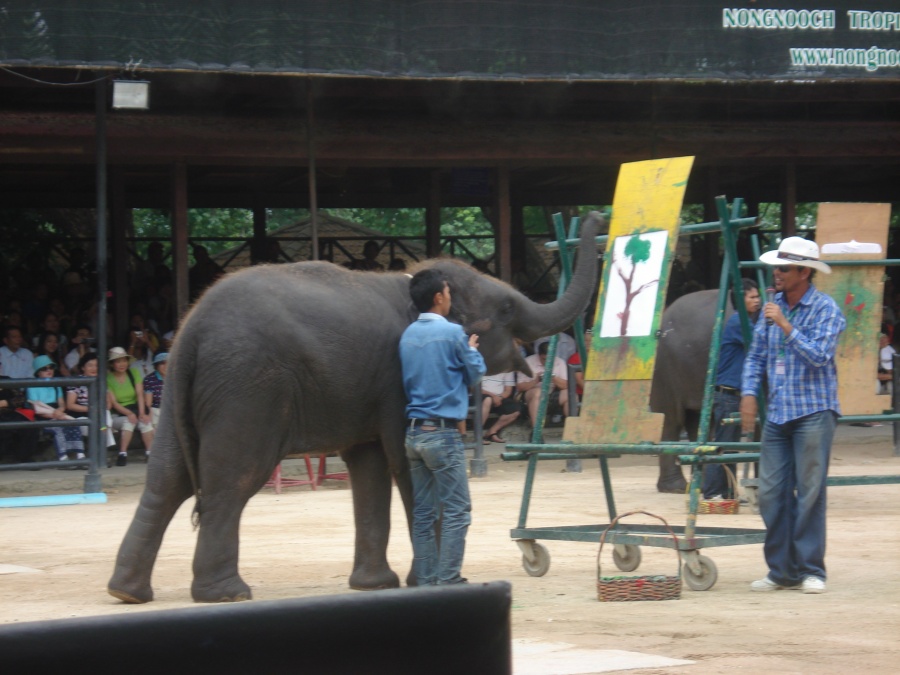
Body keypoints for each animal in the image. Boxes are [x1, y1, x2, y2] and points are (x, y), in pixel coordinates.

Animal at [107, 215, 596, 604]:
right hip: (247, 388)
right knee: (232, 479)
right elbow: (402, 463)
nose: (592, 217)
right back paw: (226, 594)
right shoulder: (396, 381)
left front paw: (375, 585)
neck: (408, 282)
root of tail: (190, 331)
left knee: (167, 479)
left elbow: (370, 466)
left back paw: (127, 593)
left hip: (180, 395)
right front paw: (433, 582)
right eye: (507, 308)